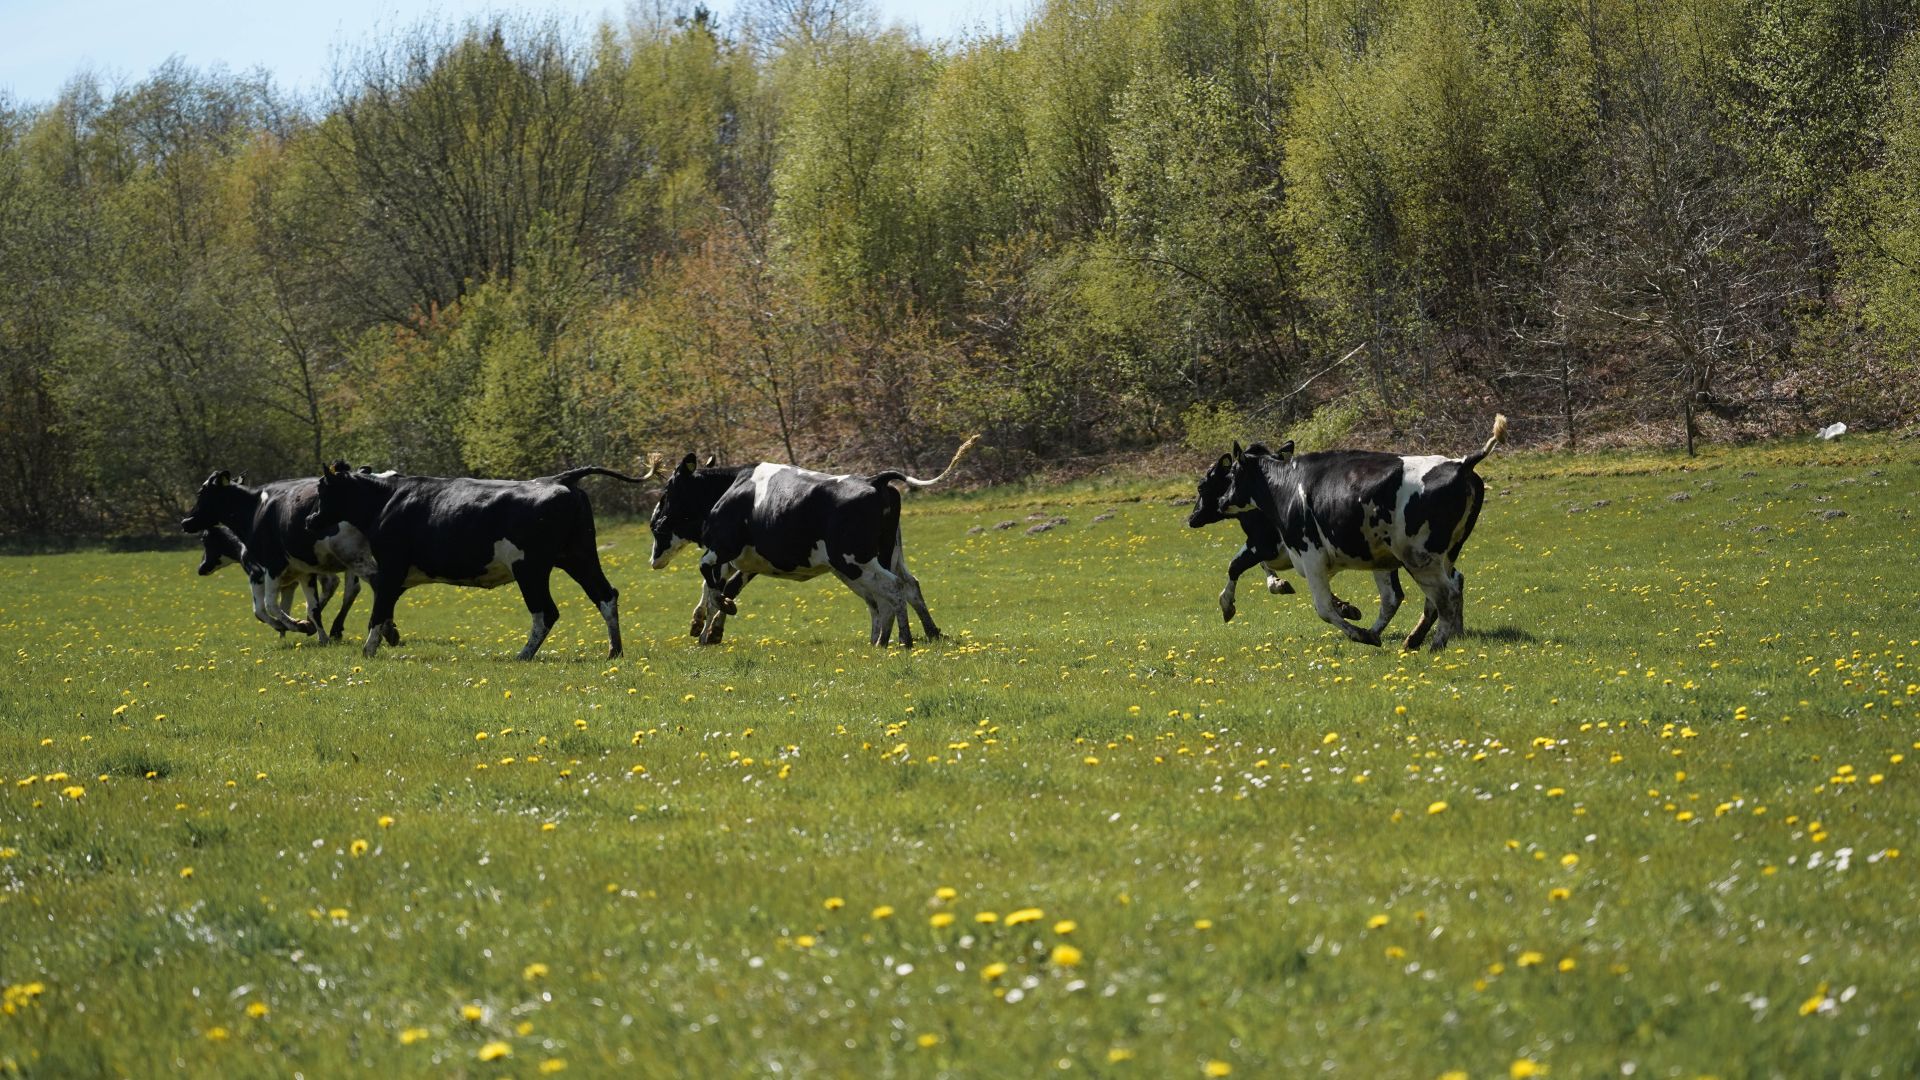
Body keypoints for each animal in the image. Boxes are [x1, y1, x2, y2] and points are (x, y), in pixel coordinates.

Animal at [307, 461, 648, 657]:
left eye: (322, 491)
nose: (310, 520)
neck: (387, 500)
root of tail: (558, 479)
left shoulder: (390, 567)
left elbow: (378, 611)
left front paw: (368, 650)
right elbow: (386, 608)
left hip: (531, 568)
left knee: (546, 611)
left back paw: (522, 655)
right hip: (579, 556)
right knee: (605, 595)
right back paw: (614, 651)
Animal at [648, 432, 983, 641]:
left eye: (668, 492)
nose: (654, 522)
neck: (729, 488)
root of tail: (874, 479)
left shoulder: (722, 548)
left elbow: (711, 580)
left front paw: (713, 622)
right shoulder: (744, 559)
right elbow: (715, 587)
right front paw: (705, 629)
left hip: (854, 561)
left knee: (891, 590)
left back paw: (902, 639)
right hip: (885, 555)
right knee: (903, 587)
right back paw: (919, 634)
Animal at [1221, 411, 1505, 645]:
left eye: (1232, 474)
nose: (1223, 501)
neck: (1286, 486)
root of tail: (1462, 462)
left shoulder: (1311, 556)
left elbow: (1324, 608)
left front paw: (1361, 635)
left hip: (1418, 557)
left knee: (1445, 596)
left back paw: (1434, 644)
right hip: (1442, 553)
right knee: (1439, 593)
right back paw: (1414, 639)